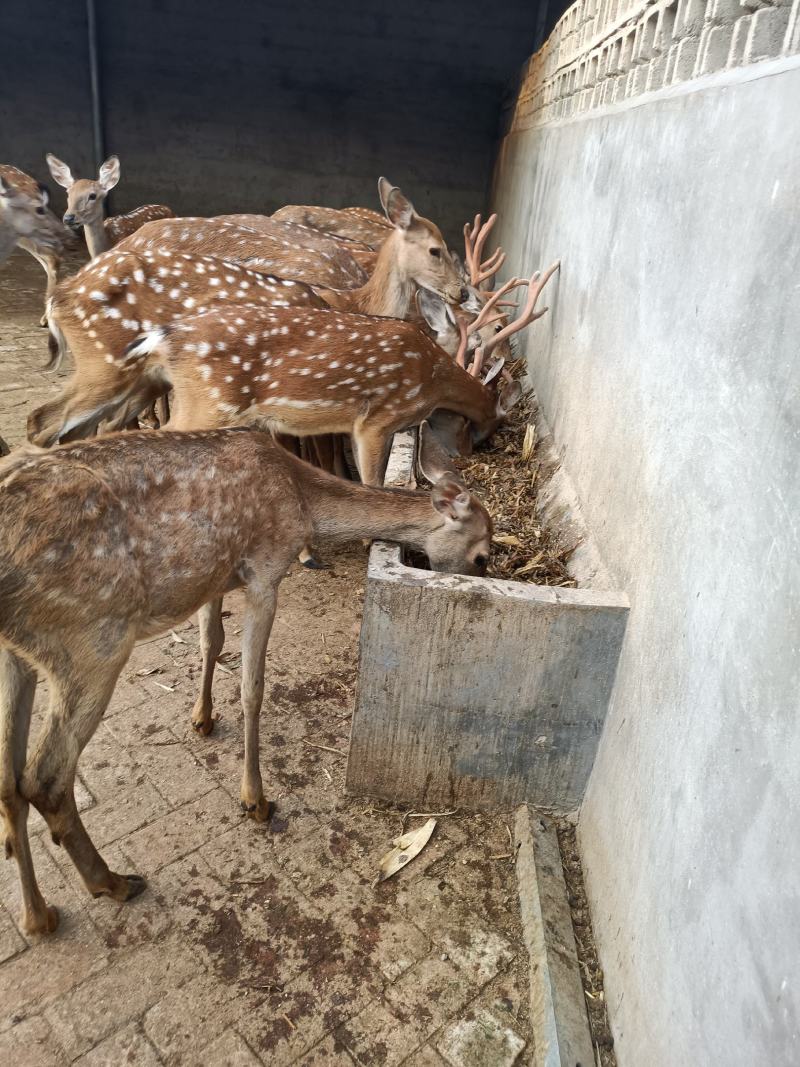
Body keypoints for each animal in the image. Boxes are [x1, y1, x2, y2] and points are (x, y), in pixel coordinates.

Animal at [0, 424, 490, 935]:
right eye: (483, 555)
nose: (482, 576)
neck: (303, 501)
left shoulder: (217, 579)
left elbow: (211, 642)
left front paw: (202, 718)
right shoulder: (265, 571)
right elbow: (252, 687)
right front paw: (255, 799)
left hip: (19, 653)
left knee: (7, 779)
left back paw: (37, 915)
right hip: (93, 640)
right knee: (44, 777)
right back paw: (113, 883)